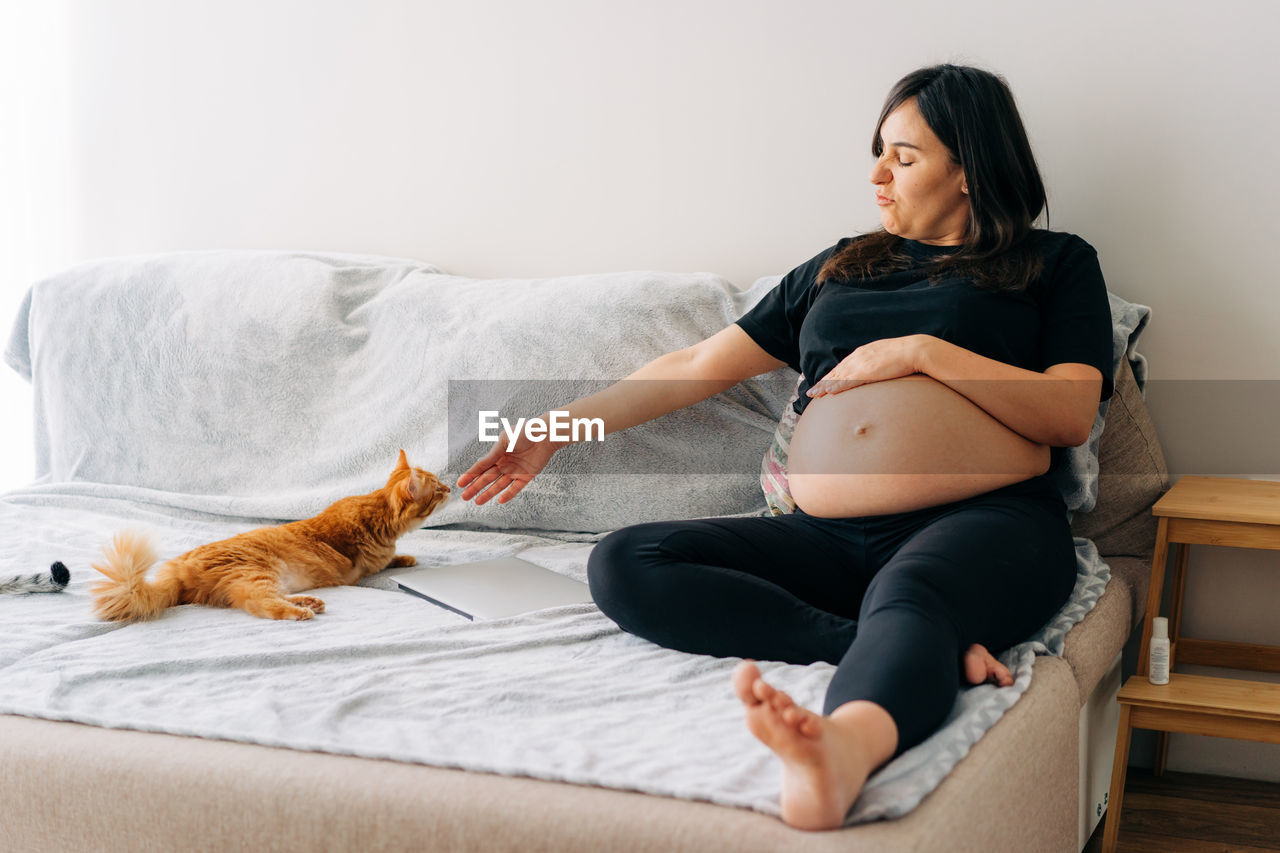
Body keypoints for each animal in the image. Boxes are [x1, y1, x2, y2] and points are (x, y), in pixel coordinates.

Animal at [91, 448, 450, 622]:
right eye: (436, 489)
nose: (449, 488)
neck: (375, 508)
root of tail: (178, 568)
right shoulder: (367, 565)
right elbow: (384, 560)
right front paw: (401, 556)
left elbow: (393, 556)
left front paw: (405, 556)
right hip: (256, 573)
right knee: (259, 602)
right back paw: (300, 611)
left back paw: (309, 601)